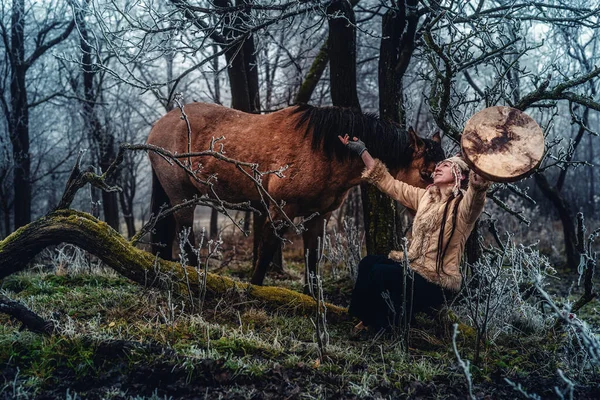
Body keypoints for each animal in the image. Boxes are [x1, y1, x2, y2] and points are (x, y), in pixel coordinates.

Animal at [147, 101, 442, 286]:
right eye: (425, 173)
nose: (432, 208)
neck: (323, 149)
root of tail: (158, 126)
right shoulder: (280, 211)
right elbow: (266, 253)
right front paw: (254, 289)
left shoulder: (319, 217)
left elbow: (312, 261)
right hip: (182, 196)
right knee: (186, 238)